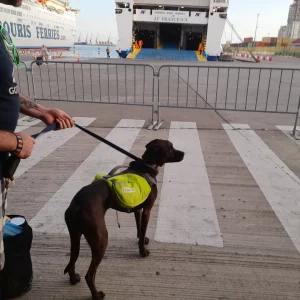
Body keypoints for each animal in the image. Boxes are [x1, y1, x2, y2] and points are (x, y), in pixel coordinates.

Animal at [63, 139, 185, 298]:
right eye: (170, 149)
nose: (184, 153)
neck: (146, 165)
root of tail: (77, 205)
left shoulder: (138, 208)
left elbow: (140, 229)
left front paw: (142, 240)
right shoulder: (147, 210)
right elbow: (143, 231)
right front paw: (143, 252)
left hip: (75, 236)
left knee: (72, 261)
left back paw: (73, 279)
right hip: (101, 239)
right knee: (89, 275)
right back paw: (97, 295)